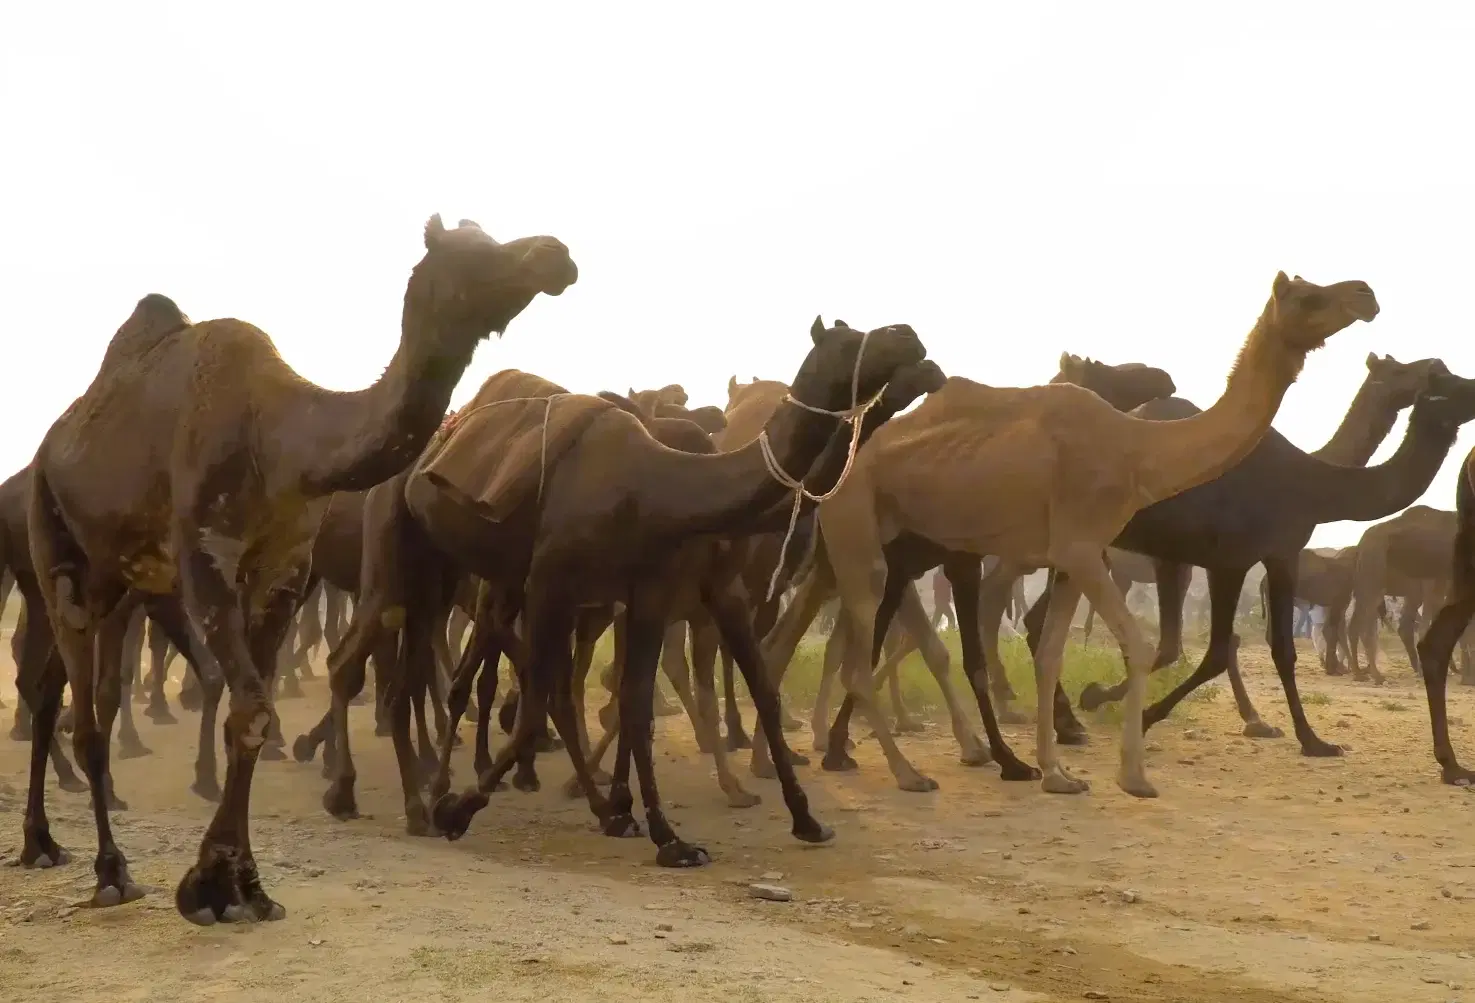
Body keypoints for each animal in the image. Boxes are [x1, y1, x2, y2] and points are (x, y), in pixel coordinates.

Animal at [17, 215, 576, 925]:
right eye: (468, 251)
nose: (555, 255)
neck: (279, 439)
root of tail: (52, 444)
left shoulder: (284, 569)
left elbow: (249, 718)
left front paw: (243, 886)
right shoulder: (206, 554)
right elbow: (253, 708)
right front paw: (206, 886)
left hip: (113, 579)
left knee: (49, 690)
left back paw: (41, 841)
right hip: (54, 542)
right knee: (85, 716)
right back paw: (111, 872)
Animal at [416, 319, 933, 867]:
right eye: (849, 339)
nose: (911, 337)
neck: (660, 489)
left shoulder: (658, 592)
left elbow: (645, 700)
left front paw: (675, 833)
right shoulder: (554, 583)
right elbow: (547, 699)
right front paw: (458, 810)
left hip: (512, 583)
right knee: (470, 668)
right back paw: (441, 788)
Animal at [755, 351, 1179, 779]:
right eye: (1103, 369)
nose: (1165, 378)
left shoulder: (926, 565)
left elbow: (920, 647)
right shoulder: (927, 564)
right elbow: (937, 651)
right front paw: (1004, 753)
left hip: (830, 571)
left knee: (789, 641)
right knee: (789, 639)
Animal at [809, 273, 1378, 797]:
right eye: (1309, 297)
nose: (1366, 294)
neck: (1137, 450)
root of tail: (834, 479)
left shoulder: (1068, 559)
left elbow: (1049, 655)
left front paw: (1058, 774)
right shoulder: (1082, 547)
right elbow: (1139, 645)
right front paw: (1134, 775)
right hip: (857, 532)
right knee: (857, 659)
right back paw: (906, 772)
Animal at [1049, 357, 1475, 754]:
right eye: (1444, 379)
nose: (1464, 381)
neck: (1314, 482)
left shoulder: (1255, 556)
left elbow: (1250, 648)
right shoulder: (1243, 557)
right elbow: (1240, 650)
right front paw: (1310, 739)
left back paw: (1063, 724)